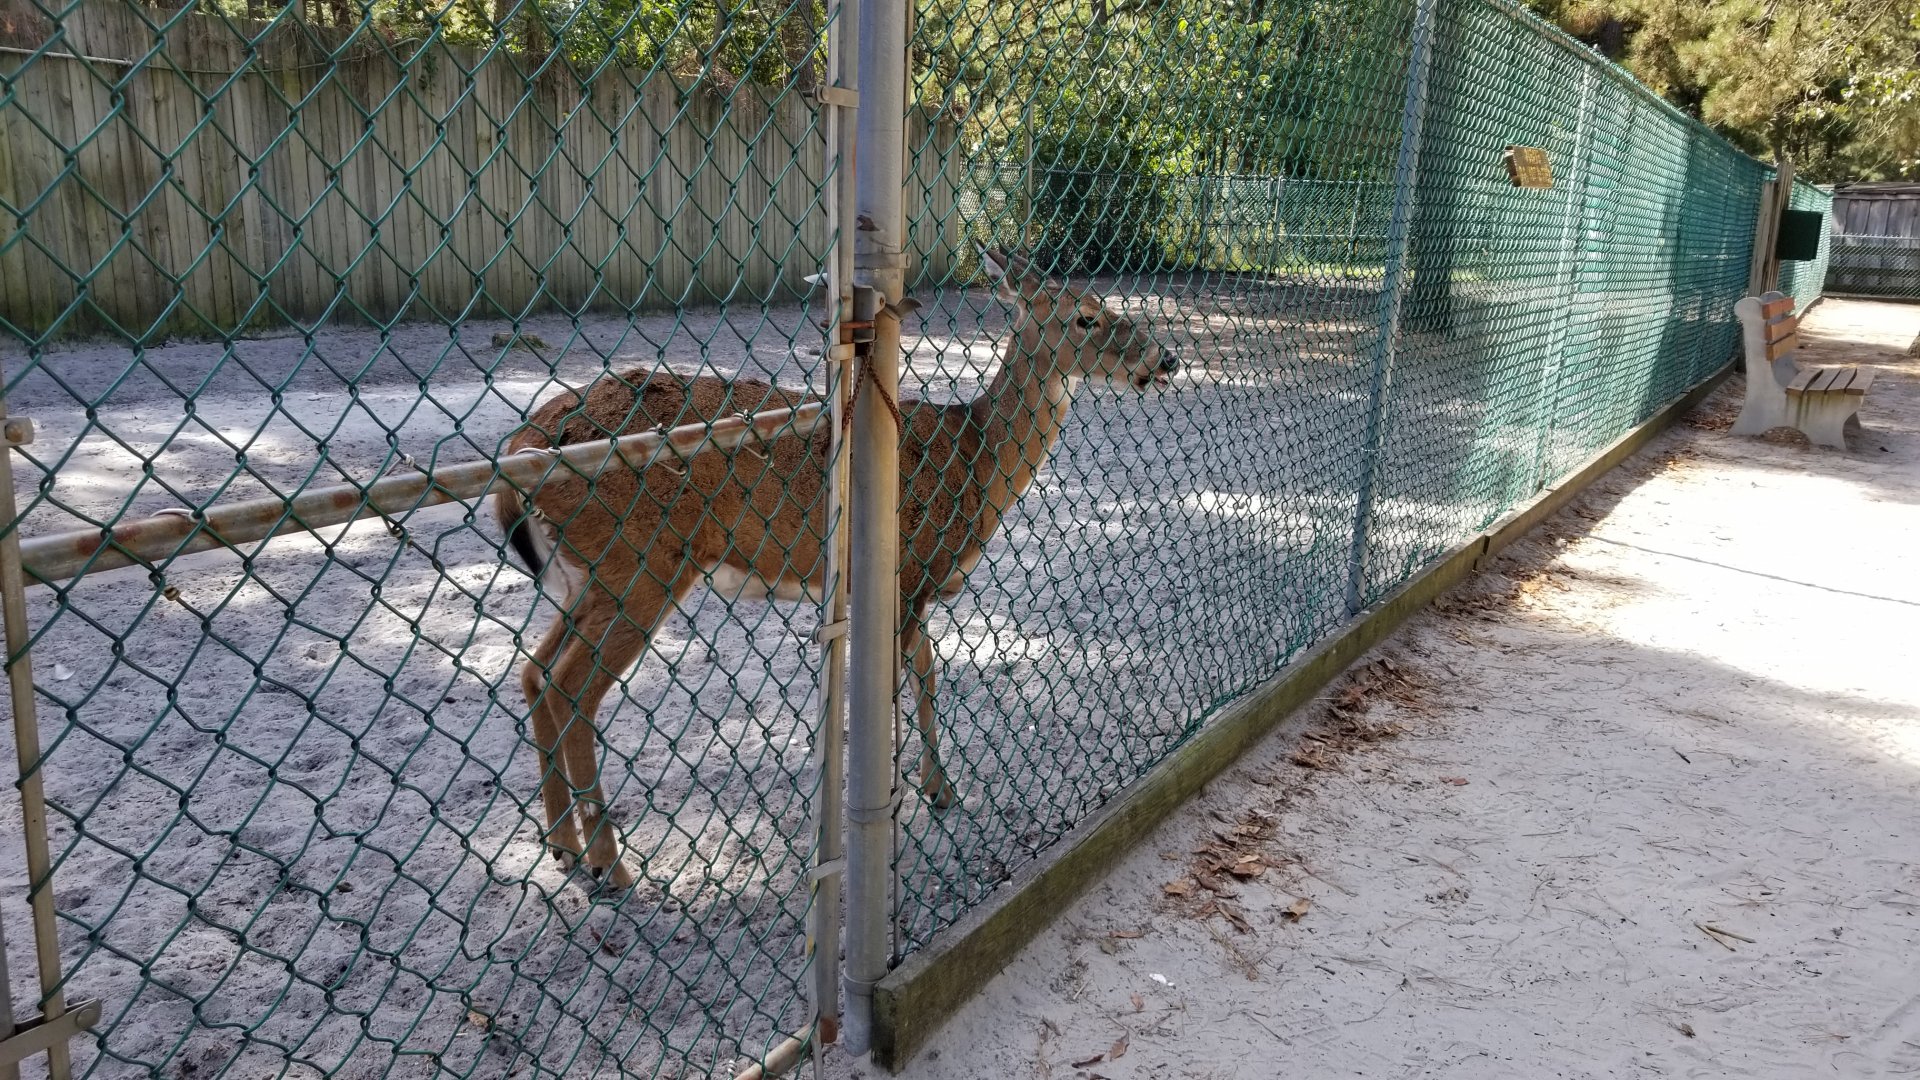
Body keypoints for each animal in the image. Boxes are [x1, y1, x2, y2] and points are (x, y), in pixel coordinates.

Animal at [493, 250, 1178, 888]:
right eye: (1086, 316)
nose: (1166, 360)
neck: (974, 465)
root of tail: (515, 455)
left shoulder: (912, 584)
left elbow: (928, 669)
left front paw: (941, 787)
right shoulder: (908, 570)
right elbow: (907, 678)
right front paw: (900, 804)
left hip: (587, 577)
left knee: (533, 672)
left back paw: (562, 845)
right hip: (640, 563)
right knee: (571, 689)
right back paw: (609, 864)